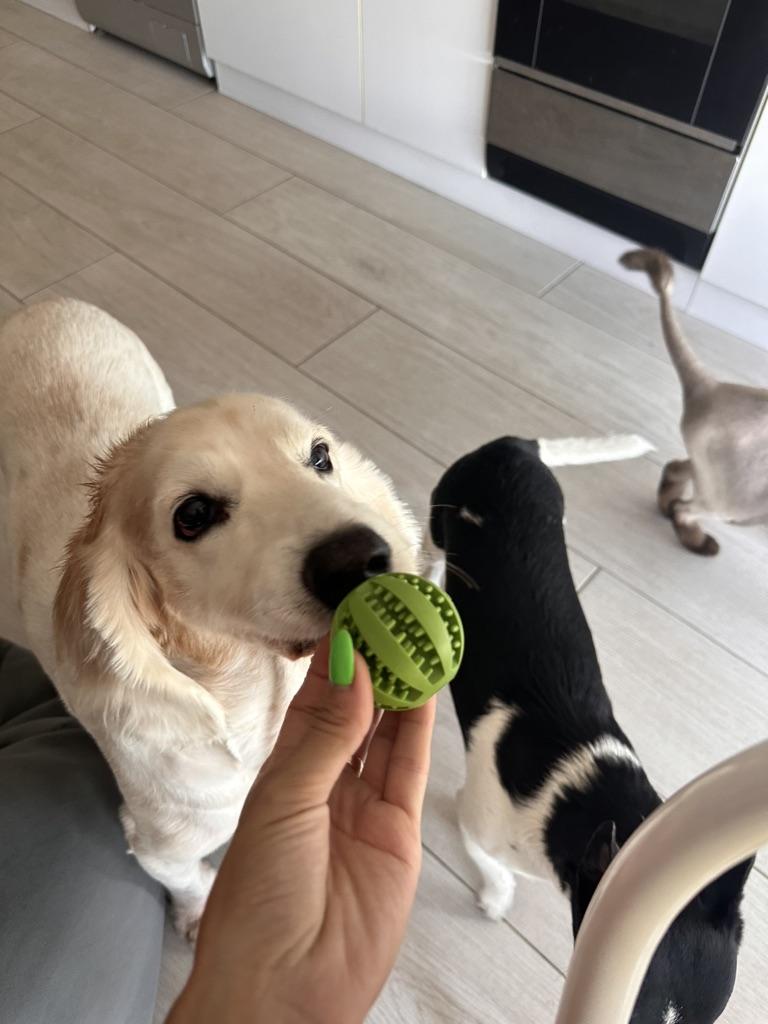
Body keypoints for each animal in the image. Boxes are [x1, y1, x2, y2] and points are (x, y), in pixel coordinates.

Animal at [0, 299, 418, 938]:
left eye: (321, 455)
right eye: (193, 513)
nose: (359, 560)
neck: (259, 693)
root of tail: (44, 306)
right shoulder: (159, 843)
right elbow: (191, 879)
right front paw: (197, 917)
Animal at [430, 436, 753, 1024]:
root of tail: (514, 446)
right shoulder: (475, 817)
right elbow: (491, 866)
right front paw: (495, 898)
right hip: (443, 509)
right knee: (435, 547)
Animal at [621, 248, 768, 555]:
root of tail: (710, 387)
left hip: (716, 479)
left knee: (675, 471)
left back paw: (668, 510)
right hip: (734, 503)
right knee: (684, 510)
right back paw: (702, 545)